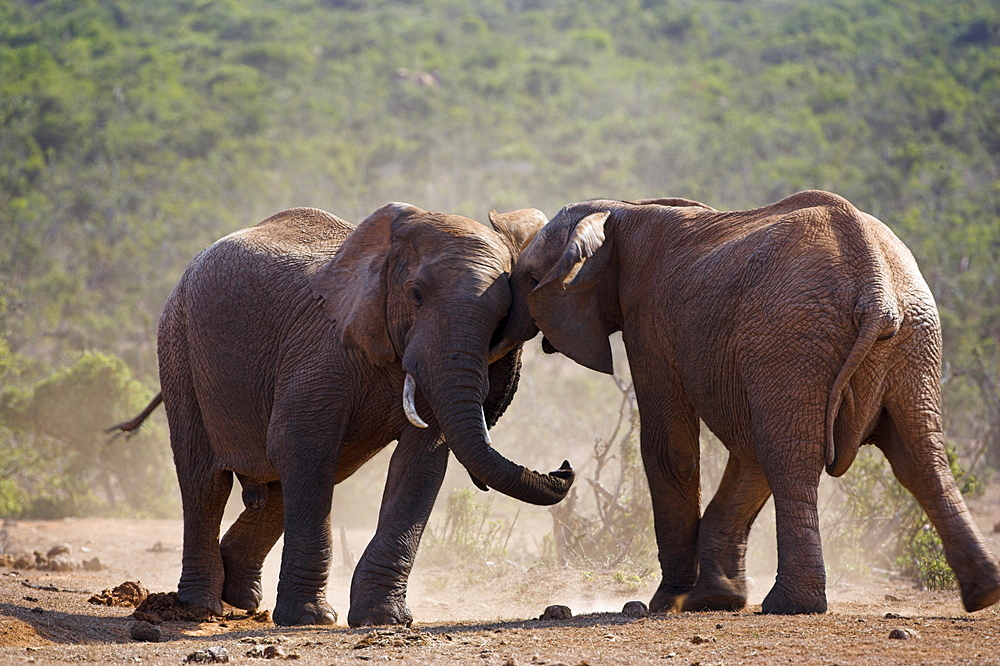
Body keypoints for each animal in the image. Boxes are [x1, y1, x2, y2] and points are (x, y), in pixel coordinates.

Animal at [144, 202, 576, 624]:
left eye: (502, 315)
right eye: (416, 294)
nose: (564, 469)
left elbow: (419, 463)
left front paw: (383, 618)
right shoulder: (323, 346)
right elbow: (298, 443)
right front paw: (312, 618)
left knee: (294, 480)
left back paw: (241, 597)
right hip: (177, 341)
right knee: (206, 480)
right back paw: (200, 608)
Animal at [496, 188, 1000, 612]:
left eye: (529, 279)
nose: (563, 468)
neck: (619, 209)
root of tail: (876, 288)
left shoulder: (648, 320)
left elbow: (672, 448)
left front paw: (668, 602)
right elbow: (746, 447)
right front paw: (713, 600)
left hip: (796, 336)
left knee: (791, 457)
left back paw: (792, 605)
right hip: (913, 338)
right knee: (921, 454)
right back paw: (984, 594)